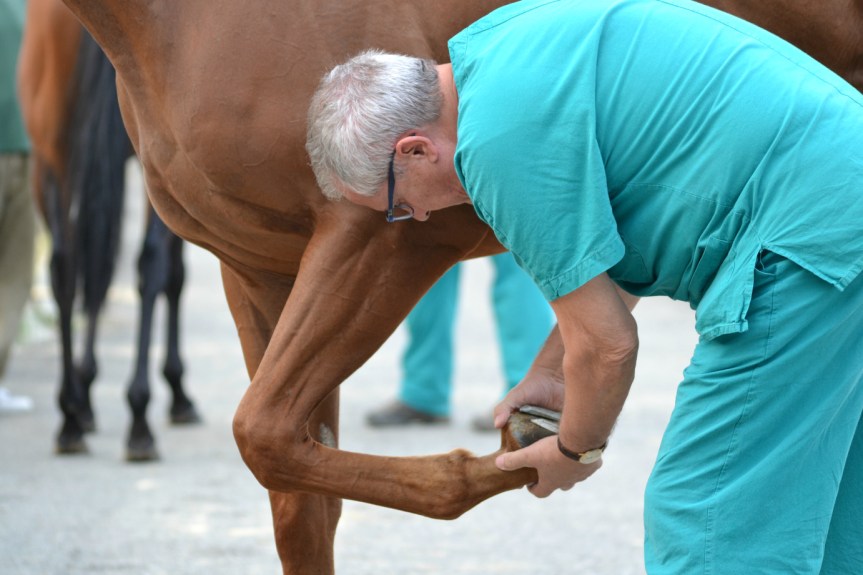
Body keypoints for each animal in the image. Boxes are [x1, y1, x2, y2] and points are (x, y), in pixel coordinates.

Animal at [17, 0, 200, 461]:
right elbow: (173, 274)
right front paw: (178, 390)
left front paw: (84, 396)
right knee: (146, 264)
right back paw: (137, 419)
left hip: (50, 153)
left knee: (66, 266)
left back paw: (70, 418)